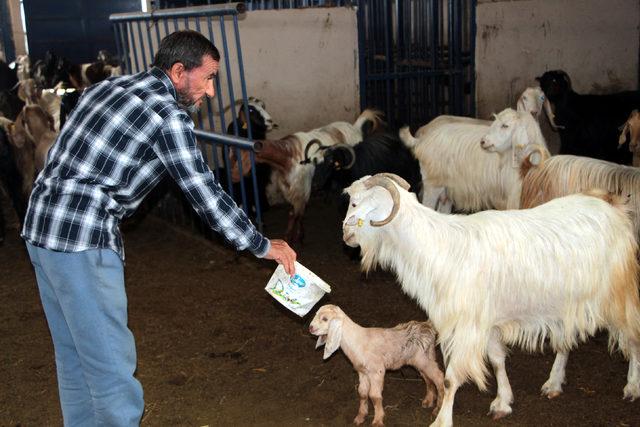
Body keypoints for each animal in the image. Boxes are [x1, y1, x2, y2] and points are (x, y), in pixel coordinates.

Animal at [310, 306, 444, 426]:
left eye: (325, 319)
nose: (310, 328)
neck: (357, 340)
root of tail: (427, 326)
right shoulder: (362, 372)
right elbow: (362, 393)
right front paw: (360, 417)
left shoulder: (377, 371)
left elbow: (374, 396)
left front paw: (377, 420)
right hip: (422, 359)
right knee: (428, 379)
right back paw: (428, 401)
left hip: (424, 359)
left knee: (439, 378)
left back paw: (438, 408)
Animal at [342, 173, 640, 427]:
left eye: (355, 203)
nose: (345, 235)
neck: (441, 247)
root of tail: (610, 203)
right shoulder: (489, 320)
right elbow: (497, 360)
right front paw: (502, 402)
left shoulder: (468, 325)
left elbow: (450, 379)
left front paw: (442, 420)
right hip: (567, 301)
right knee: (565, 340)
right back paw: (553, 384)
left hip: (617, 294)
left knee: (632, 336)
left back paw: (632, 387)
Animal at [400, 108, 544, 213]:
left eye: (505, 125)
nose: (483, 141)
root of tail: (423, 140)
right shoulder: (511, 196)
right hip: (433, 183)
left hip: (447, 188)